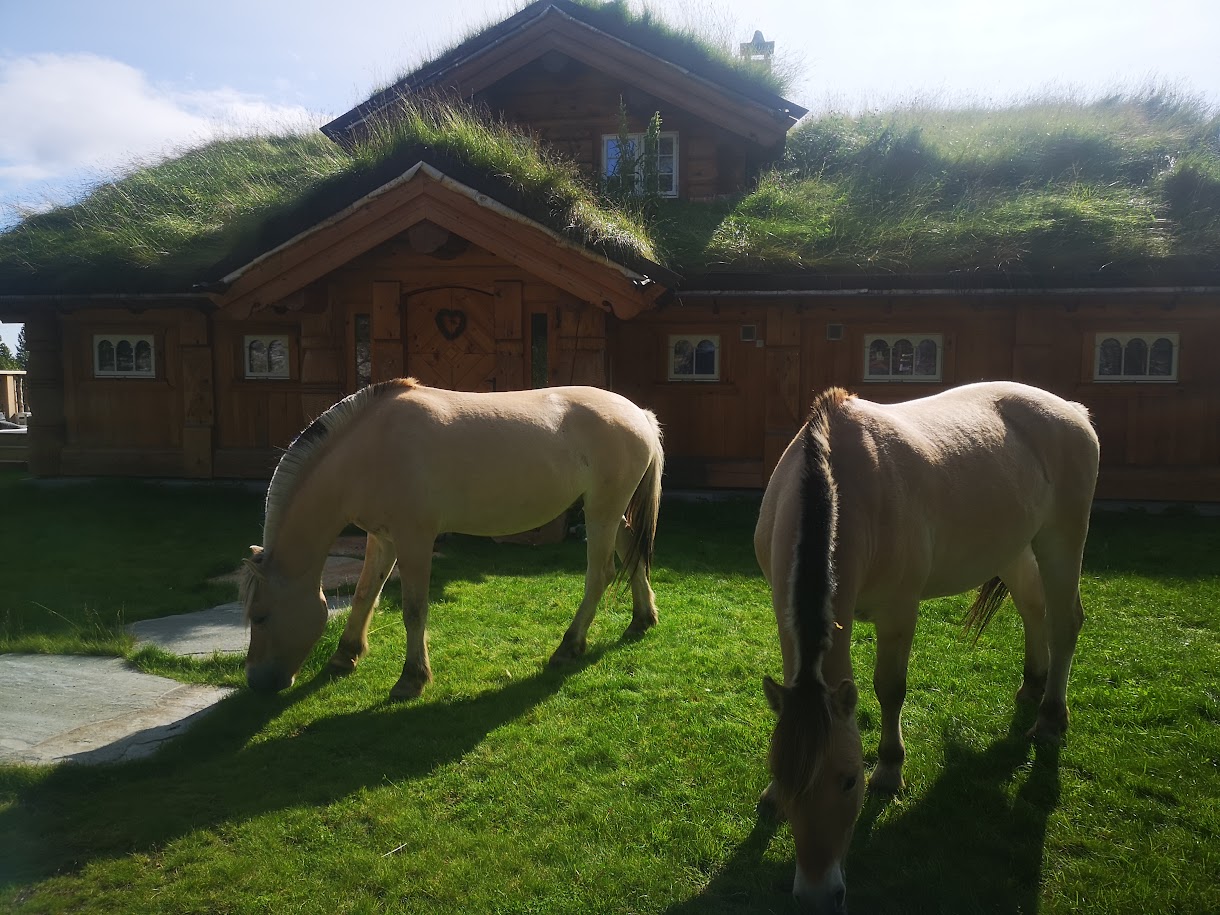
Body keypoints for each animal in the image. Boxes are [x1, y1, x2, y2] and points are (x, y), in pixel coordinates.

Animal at [240, 378, 663, 699]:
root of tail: (638, 413)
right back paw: (642, 620)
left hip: (601, 510)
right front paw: (345, 656)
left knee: (600, 575)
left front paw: (411, 679)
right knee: (632, 550)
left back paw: (569, 646)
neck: (369, 451)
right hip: (607, 509)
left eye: (260, 615)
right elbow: (364, 594)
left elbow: (413, 608)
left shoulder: (414, 539)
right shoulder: (383, 538)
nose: (257, 682)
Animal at [753, 381, 1099, 914]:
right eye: (787, 776)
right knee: (1033, 607)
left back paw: (1049, 717)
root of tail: (1072, 410)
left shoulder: (899, 611)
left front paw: (889, 770)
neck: (840, 477)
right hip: (1013, 546)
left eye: (849, 779)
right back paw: (1031, 685)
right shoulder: (782, 610)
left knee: (1064, 622)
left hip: (1061, 539)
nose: (816, 895)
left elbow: (889, 689)